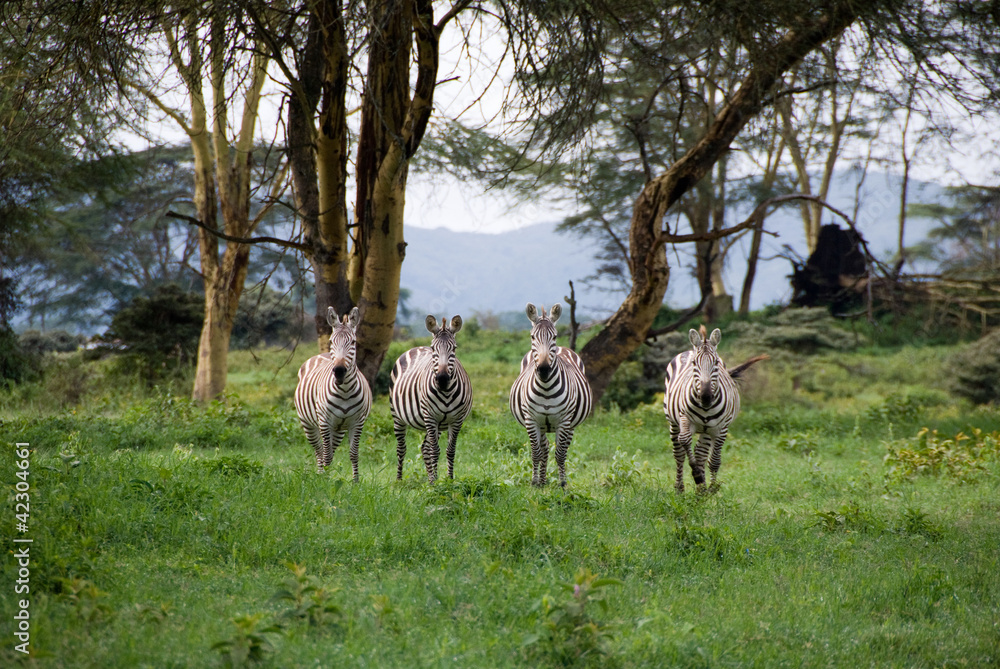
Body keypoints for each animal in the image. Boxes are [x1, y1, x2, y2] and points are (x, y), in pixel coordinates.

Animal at [294, 306, 372, 481]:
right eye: (331, 342)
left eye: (353, 342)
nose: (339, 371)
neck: (345, 391)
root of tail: (321, 354)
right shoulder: (324, 421)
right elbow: (326, 455)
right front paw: (325, 481)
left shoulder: (357, 422)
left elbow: (353, 453)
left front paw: (356, 481)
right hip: (309, 424)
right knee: (319, 450)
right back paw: (320, 473)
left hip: (339, 429)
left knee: (330, 448)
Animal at [389, 315, 473, 483]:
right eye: (434, 348)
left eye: (454, 348)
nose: (442, 379)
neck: (446, 392)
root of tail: (417, 347)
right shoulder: (430, 417)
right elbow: (435, 450)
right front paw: (436, 484)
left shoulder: (456, 420)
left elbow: (450, 450)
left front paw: (448, 480)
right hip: (398, 416)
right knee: (401, 448)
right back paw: (399, 480)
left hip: (439, 424)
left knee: (424, 448)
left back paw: (430, 478)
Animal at [509, 303, 593, 487]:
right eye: (532, 337)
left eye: (554, 336)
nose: (543, 369)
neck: (546, 388)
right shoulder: (531, 420)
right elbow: (535, 452)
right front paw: (534, 482)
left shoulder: (564, 420)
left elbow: (560, 454)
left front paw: (562, 484)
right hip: (542, 424)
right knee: (545, 447)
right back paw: (541, 481)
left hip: (571, 424)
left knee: (562, 449)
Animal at [663, 325, 766, 493]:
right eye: (694, 363)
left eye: (716, 362)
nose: (705, 397)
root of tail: (689, 349)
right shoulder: (684, 418)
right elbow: (684, 441)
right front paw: (697, 475)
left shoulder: (721, 428)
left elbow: (715, 460)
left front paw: (711, 487)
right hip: (673, 422)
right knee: (679, 454)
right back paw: (680, 488)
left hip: (707, 430)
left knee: (700, 453)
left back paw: (702, 489)